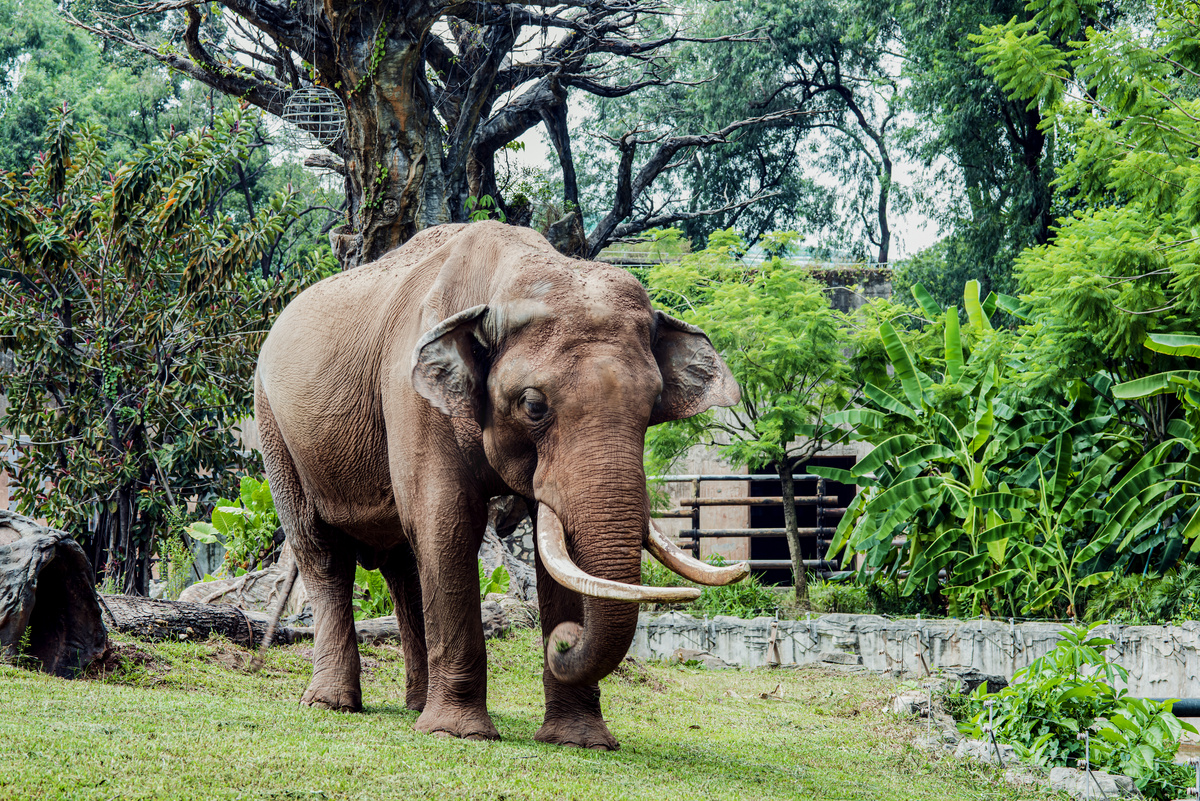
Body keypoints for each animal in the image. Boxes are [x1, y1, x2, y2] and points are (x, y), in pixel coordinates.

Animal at [256, 220, 744, 753]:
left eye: (653, 406)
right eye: (533, 405)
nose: (565, 639)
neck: (511, 273)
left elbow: (547, 549)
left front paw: (578, 741)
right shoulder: (411, 393)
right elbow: (446, 523)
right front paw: (457, 733)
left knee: (403, 563)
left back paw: (414, 706)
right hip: (274, 429)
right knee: (322, 552)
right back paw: (332, 703)